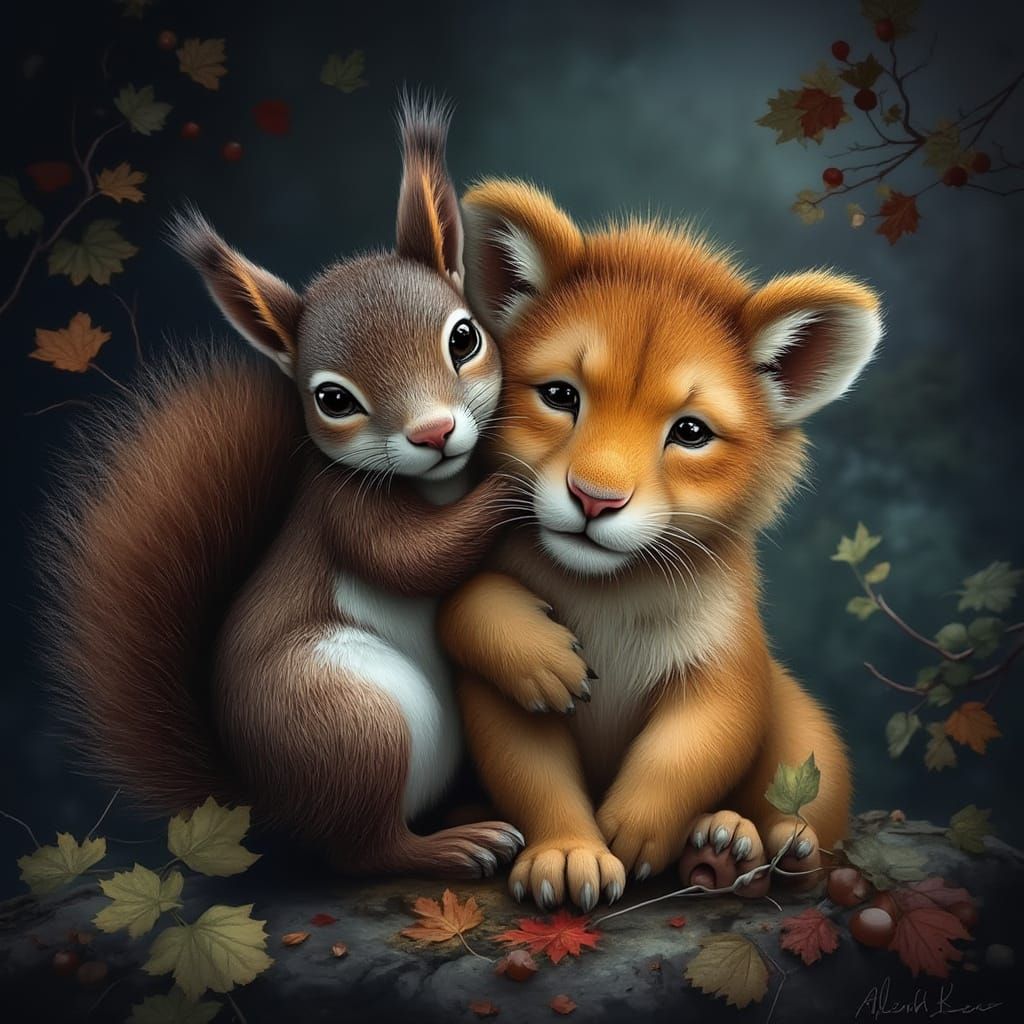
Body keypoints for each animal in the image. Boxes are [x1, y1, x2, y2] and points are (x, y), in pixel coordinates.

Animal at [41, 99, 524, 879]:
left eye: (464, 338)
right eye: (332, 399)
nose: (435, 432)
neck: (440, 483)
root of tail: (268, 804)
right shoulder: (343, 511)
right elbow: (410, 559)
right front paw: (511, 483)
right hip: (349, 720)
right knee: (367, 850)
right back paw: (457, 844)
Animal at [436, 179, 882, 909]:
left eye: (691, 432)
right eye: (560, 395)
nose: (595, 499)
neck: (609, 588)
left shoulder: (730, 665)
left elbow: (689, 749)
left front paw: (632, 831)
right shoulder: (497, 697)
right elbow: (531, 767)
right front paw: (569, 854)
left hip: (806, 733)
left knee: (805, 820)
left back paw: (743, 845)